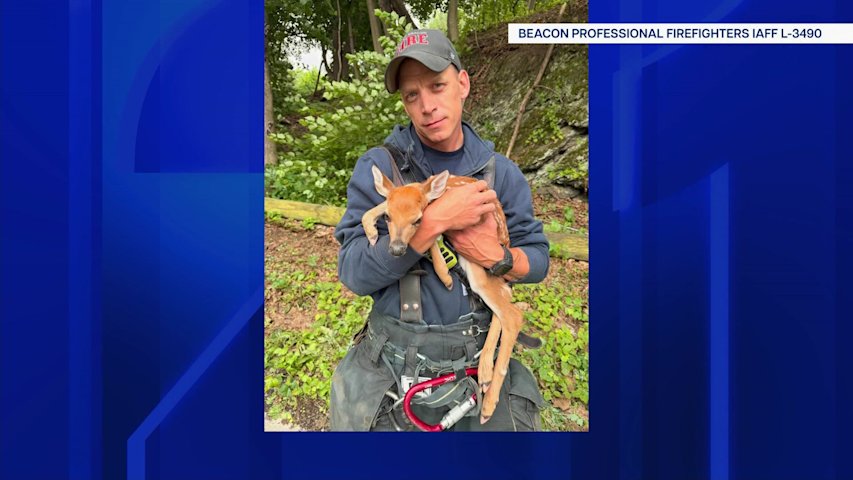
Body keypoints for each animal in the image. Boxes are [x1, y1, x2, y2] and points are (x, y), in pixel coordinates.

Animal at [362, 164, 526, 424]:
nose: (396, 249)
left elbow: (433, 235)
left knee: (513, 314)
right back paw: (484, 374)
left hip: (478, 264)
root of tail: (504, 240)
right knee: (503, 305)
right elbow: (373, 209)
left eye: (418, 220)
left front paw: (445, 277)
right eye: (388, 217)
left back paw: (489, 404)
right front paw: (370, 232)